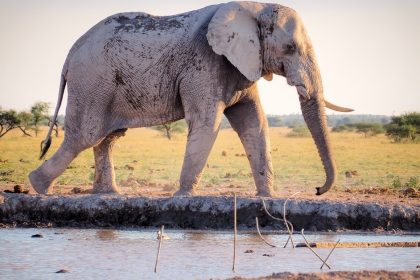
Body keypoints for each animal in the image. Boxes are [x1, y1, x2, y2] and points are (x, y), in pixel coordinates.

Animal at [27, 1, 352, 196]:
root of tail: (70, 53)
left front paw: (266, 198)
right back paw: (38, 187)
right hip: (92, 81)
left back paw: (108, 194)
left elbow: (255, 123)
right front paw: (182, 196)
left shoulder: (240, 65)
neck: (255, 7)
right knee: (85, 135)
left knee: (107, 138)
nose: (317, 190)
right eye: (290, 48)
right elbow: (207, 123)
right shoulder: (204, 63)